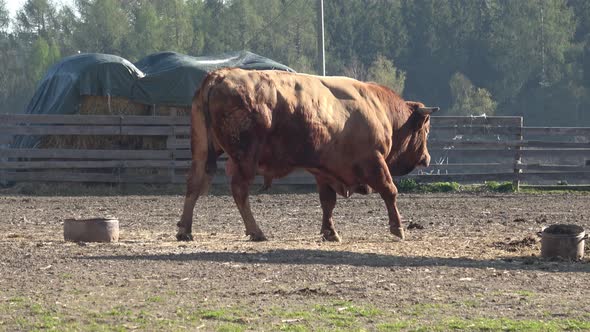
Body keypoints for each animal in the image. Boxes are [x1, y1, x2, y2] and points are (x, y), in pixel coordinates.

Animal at [176, 68, 440, 243]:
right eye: (425, 129)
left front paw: (330, 232)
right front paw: (398, 228)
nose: (426, 158)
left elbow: (327, 201)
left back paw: (185, 230)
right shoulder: (374, 161)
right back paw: (256, 231)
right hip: (244, 159)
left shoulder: (324, 170)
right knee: (239, 191)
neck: (376, 108)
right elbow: (389, 190)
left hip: (203, 151)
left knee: (194, 184)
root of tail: (219, 75)